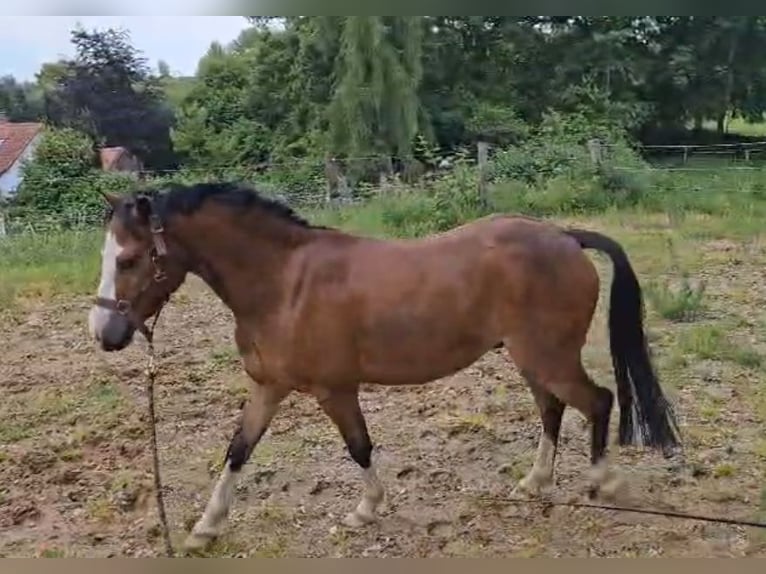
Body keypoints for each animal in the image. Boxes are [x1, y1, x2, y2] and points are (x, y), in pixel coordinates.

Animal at [88, 181, 681, 552]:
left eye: (129, 259)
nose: (104, 334)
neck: (283, 283)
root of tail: (565, 236)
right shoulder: (269, 387)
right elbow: (238, 451)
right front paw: (205, 529)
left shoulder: (335, 389)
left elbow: (359, 447)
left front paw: (366, 509)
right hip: (532, 359)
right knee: (553, 409)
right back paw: (534, 482)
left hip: (548, 357)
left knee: (598, 401)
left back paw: (602, 483)